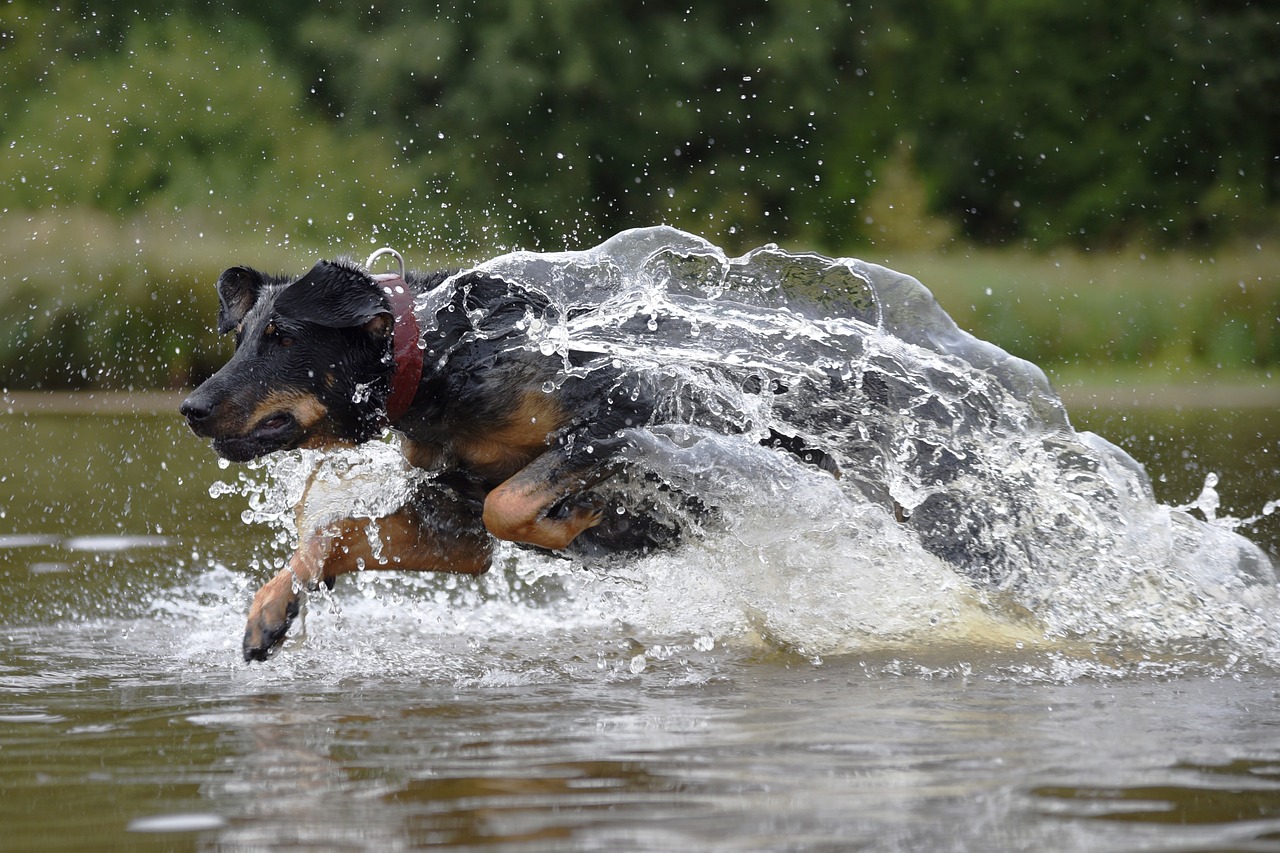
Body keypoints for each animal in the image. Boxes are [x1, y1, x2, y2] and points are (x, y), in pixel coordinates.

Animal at [183, 249, 839, 660]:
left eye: (284, 338)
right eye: (242, 339)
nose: (191, 407)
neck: (440, 362)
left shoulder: (624, 414)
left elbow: (509, 500)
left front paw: (574, 522)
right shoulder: (456, 523)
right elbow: (336, 534)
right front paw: (272, 606)